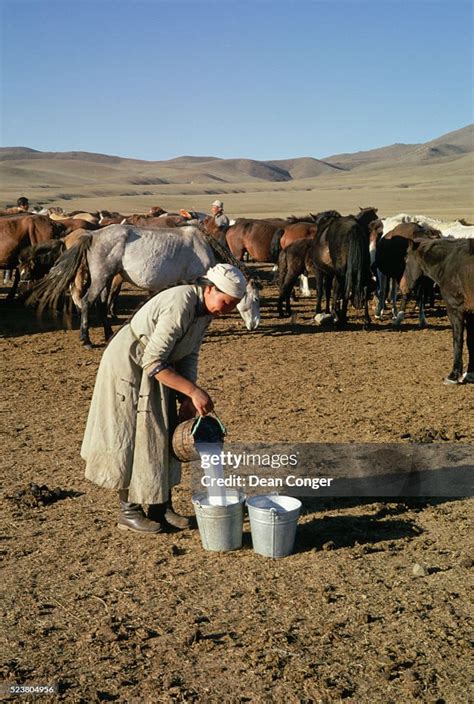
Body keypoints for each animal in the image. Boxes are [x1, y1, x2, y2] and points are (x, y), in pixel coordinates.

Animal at [26, 226, 260, 346]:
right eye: (256, 299)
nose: (255, 324)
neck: (203, 246)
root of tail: (91, 235)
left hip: (107, 278)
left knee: (100, 304)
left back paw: (109, 334)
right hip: (101, 277)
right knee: (86, 302)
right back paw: (86, 339)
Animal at [400, 238, 474, 384]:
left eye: (406, 259)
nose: (402, 286)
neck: (449, 264)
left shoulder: (455, 309)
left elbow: (457, 341)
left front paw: (453, 375)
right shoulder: (470, 313)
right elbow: (470, 342)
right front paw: (469, 374)